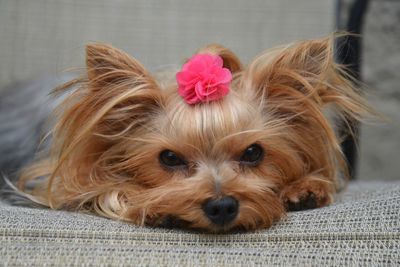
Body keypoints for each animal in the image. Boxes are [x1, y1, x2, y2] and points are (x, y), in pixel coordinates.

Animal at [16, 35, 372, 232]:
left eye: (253, 152)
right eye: (169, 158)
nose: (222, 207)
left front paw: (306, 188)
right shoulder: (56, 179)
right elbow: (100, 190)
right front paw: (151, 205)